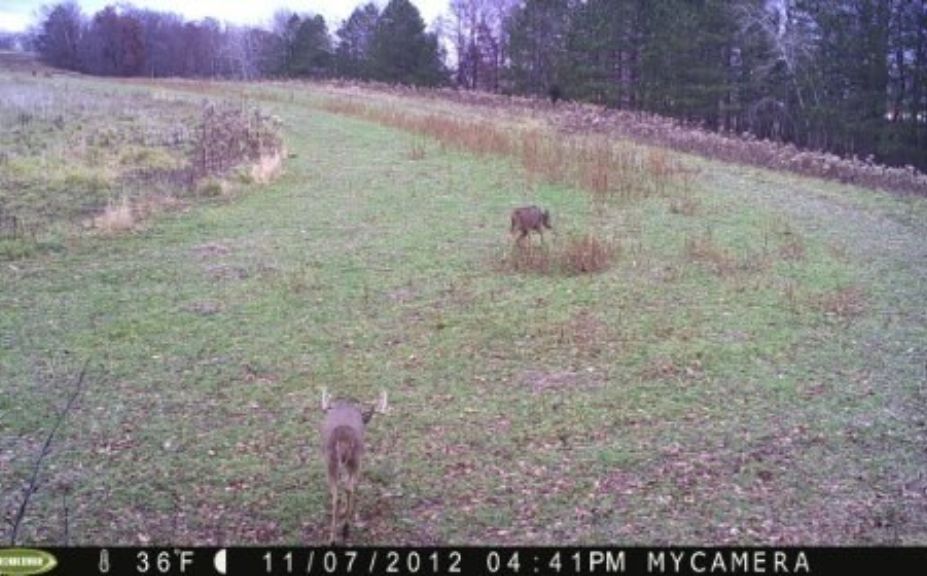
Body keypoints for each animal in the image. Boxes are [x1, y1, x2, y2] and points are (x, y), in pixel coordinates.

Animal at [322, 388, 388, 544]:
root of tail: (343, 441)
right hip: (354, 460)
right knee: (348, 489)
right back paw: (343, 531)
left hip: (332, 461)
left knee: (339, 494)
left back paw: (336, 535)